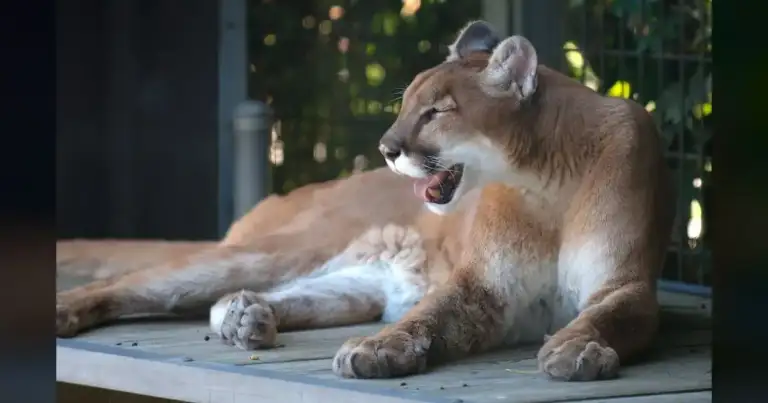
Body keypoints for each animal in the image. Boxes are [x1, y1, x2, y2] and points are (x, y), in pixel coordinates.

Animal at [56, 21, 675, 382]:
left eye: (436, 112)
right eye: (405, 105)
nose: (386, 148)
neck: (542, 186)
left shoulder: (625, 282)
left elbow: (609, 316)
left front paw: (577, 348)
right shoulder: (484, 284)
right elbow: (430, 315)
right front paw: (379, 350)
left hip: (354, 284)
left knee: (257, 298)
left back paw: (246, 318)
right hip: (283, 248)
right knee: (137, 283)